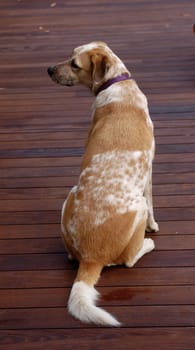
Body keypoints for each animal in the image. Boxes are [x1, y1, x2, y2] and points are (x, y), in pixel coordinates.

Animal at [47, 41, 158, 328]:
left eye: (75, 64)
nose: (49, 69)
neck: (117, 84)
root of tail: (90, 258)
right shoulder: (150, 169)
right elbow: (154, 205)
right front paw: (153, 228)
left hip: (68, 196)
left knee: (71, 255)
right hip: (138, 207)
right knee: (129, 260)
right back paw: (147, 245)